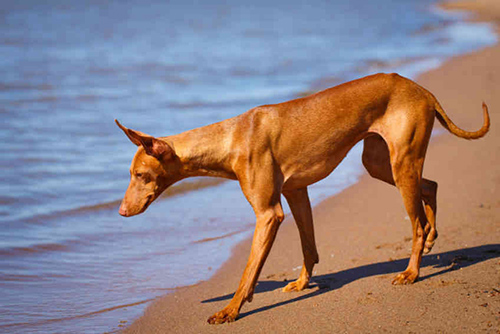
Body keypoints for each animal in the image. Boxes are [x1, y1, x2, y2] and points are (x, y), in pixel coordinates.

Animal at [116, 73, 488, 324]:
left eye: (139, 175)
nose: (120, 211)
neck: (231, 138)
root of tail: (421, 89)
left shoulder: (268, 214)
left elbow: (249, 270)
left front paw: (231, 309)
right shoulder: (296, 192)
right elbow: (308, 246)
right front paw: (301, 283)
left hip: (401, 165)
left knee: (417, 223)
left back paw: (411, 272)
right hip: (382, 164)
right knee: (432, 187)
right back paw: (432, 239)